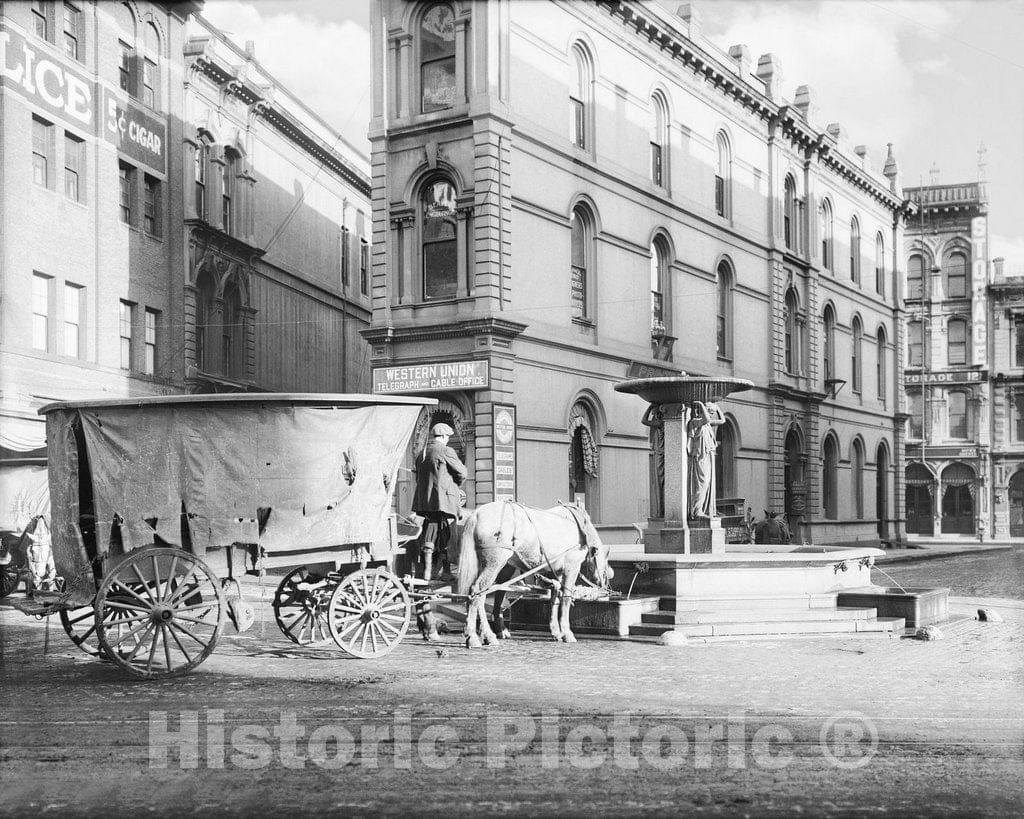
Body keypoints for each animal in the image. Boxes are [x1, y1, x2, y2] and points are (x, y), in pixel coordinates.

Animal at [458, 501, 614, 651]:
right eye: (605, 566)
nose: (606, 584)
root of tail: (477, 513)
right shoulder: (571, 567)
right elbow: (565, 599)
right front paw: (567, 633)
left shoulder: (556, 573)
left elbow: (555, 599)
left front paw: (556, 631)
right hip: (495, 563)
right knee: (477, 592)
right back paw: (474, 636)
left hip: (495, 566)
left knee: (486, 595)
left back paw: (489, 634)